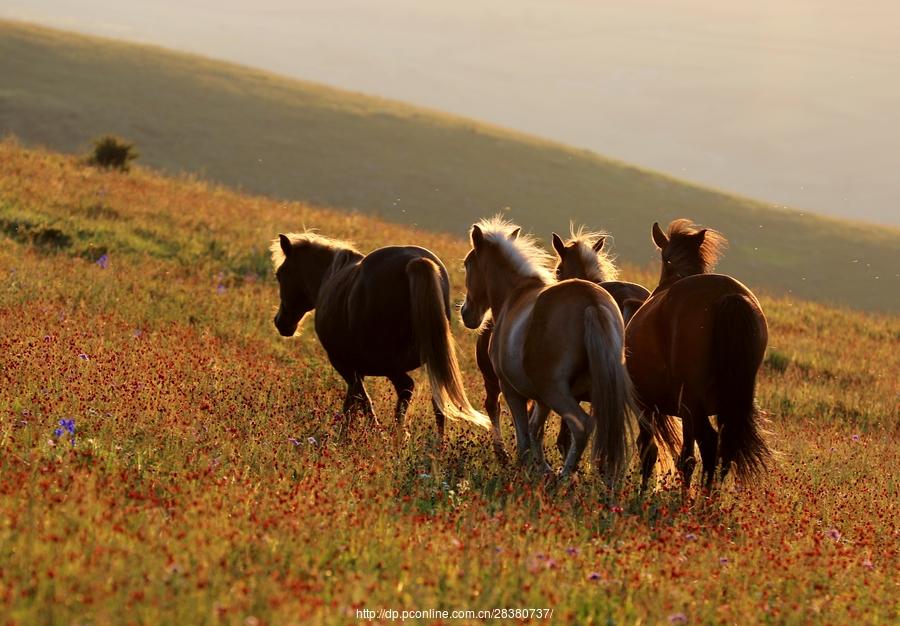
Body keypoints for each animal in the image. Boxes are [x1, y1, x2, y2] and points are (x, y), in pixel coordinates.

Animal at [270, 232, 488, 436]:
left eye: (280, 274)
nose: (280, 323)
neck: (330, 275)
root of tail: (415, 262)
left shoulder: (344, 364)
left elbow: (359, 399)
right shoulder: (355, 369)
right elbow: (352, 402)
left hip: (388, 364)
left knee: (405, 387)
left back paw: (394, 434)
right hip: (432, 362)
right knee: (439, 404)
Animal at [458, 217, 632, 486]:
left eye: (467, 264)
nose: (467, 314)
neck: (514, 294)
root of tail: (591, 303)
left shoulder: (513, 392)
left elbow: (524, 436)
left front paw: (524, 470)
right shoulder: (541, 399)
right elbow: (535, 431)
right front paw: (540, 469)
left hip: (556, 392)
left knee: (582, 425)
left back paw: (564, 478)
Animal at [624, 217, 772, 490]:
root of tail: (728, 295)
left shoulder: (647, 406)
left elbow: (650, 451)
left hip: (692, 405)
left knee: (708, 446)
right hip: (724, 407)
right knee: (725, 450)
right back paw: (709, 498)